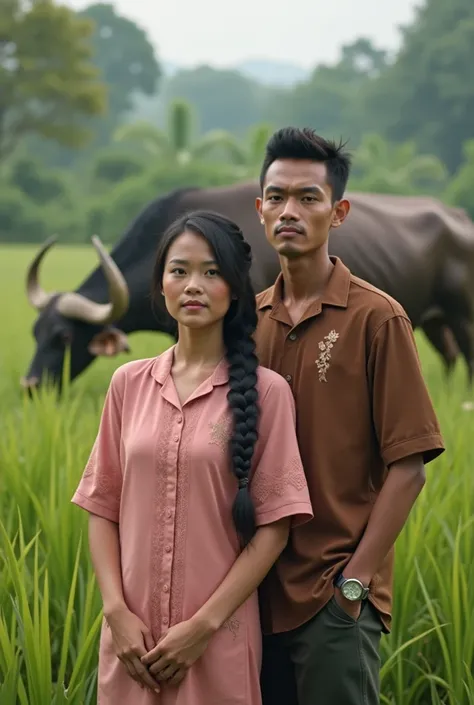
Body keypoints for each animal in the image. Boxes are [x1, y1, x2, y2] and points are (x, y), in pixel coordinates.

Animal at [21, 182, 474, 390]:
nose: (29, 387)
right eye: (35, 332)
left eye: (64, 337)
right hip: (434, 322)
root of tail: (460, 217)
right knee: (450, 357)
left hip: (463, 318)